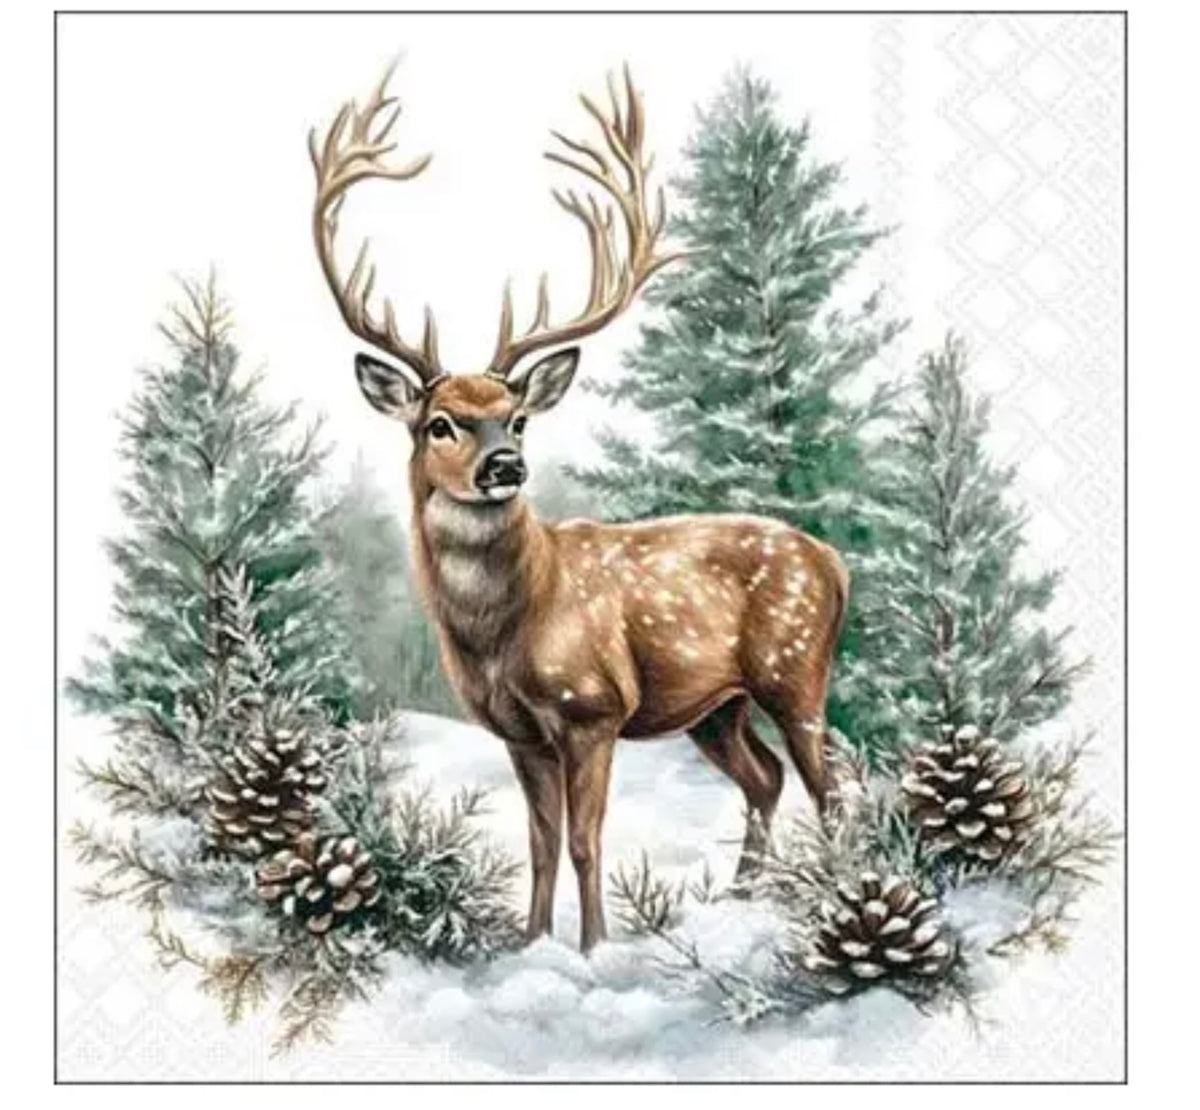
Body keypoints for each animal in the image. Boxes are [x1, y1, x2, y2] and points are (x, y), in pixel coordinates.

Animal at [309, 62, 849, 952]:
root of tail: (835, 563)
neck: (505, 629)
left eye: (519, 416)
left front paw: (595, 947)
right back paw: (745, 898)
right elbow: (540, 840)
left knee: (829, 785)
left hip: (795, 666)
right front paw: (530, 942)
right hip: (716, 706)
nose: (505, 465)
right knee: (768, 778)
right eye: (439, 422)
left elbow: (588, 839)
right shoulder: (519, 729)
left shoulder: (594, 708)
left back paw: (831, 896)